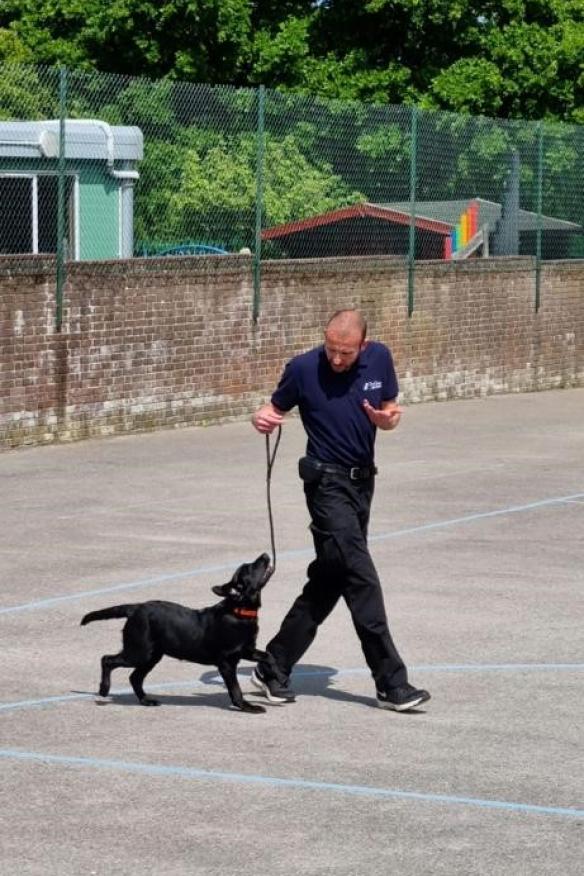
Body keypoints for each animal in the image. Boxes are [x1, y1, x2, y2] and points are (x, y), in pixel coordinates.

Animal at [80, 556, 274, 712]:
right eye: (250, 568)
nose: (265, 555)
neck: (239, 611)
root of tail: (135, 608)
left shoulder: (246, 650)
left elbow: (268, 656)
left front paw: (274, 675)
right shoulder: (226, 662)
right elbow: (235, 689)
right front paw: (246, 706)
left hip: (151, 656)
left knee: (134, 677)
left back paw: (146, 700)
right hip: (139, 652)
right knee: (107, 660)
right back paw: (104, 689)